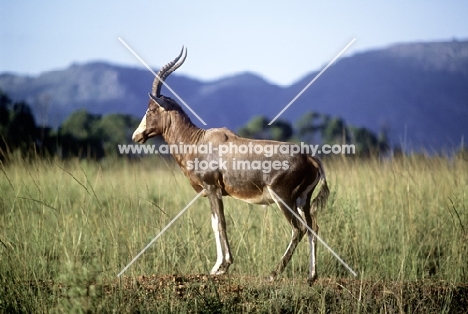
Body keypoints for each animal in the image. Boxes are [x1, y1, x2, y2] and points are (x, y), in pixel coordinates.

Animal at [132, 46, 330, 282]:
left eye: (151, 109)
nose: (136, 136)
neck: (198, 141)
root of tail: (310, 157)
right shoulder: (211, 192)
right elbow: (214, 223)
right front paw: (216, 267)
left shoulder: (213, 189)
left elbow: (220, 223)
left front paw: (223, 266)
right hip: (303, 200)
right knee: (313, 227)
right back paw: (311, 275)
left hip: (283, 198)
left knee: (298, 229)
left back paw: (273, 274)